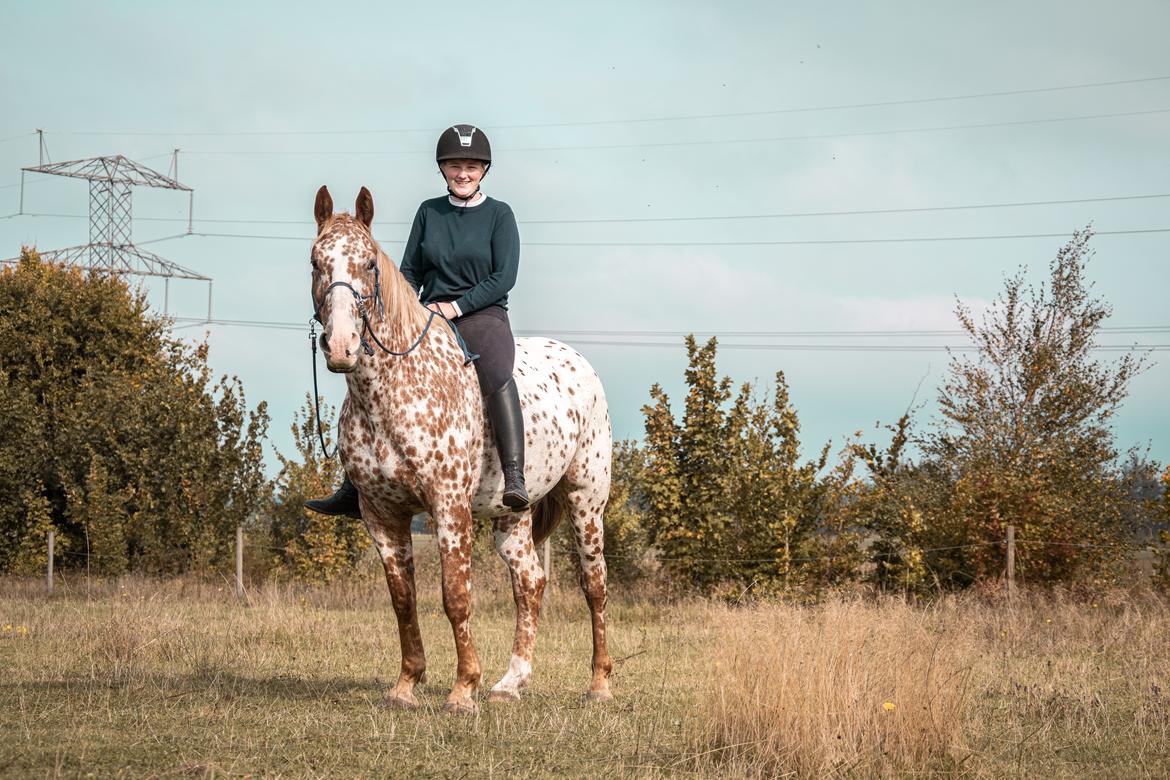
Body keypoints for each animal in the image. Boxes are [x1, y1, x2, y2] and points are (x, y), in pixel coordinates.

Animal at [306, 187, 617, 715]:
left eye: (368, 264)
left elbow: (455, 595)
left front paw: (463, 689)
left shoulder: (448, 506)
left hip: (586, 502)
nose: (341, 347)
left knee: (594, 586)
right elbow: (403, 600)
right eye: (315, 263)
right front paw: (407, 685)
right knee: (529, 583)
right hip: (512, 516)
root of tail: (581, 363)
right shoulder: (381, 514)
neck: (392, 389)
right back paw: (511, 682)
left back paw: (598, 684)